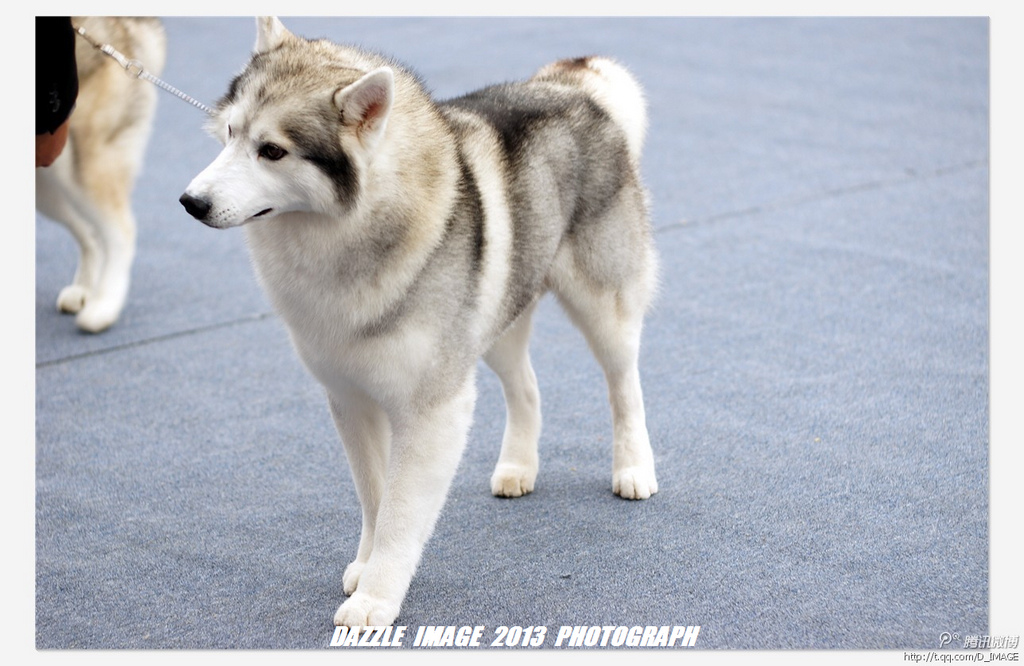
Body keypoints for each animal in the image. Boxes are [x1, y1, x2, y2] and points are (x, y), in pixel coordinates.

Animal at [35, 16, 165, 331]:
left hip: (75, 165)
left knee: (121, 230)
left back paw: (104, 306)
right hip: (45, 183)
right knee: (91, 233)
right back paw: (85, 290)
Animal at [180, 18, 659, 627]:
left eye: (272, 151)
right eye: (229, 133)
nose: (190, 201)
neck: (349, 237)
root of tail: (570, 87)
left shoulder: (432, 410)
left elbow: (401, 511)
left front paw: (375, 599)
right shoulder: (351, 398)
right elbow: (375, 497)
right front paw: (366, 570)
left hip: (602, 307)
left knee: (625, 386)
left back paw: (634, 469)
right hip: (494, 322)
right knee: (527, 388)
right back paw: (517, 466)